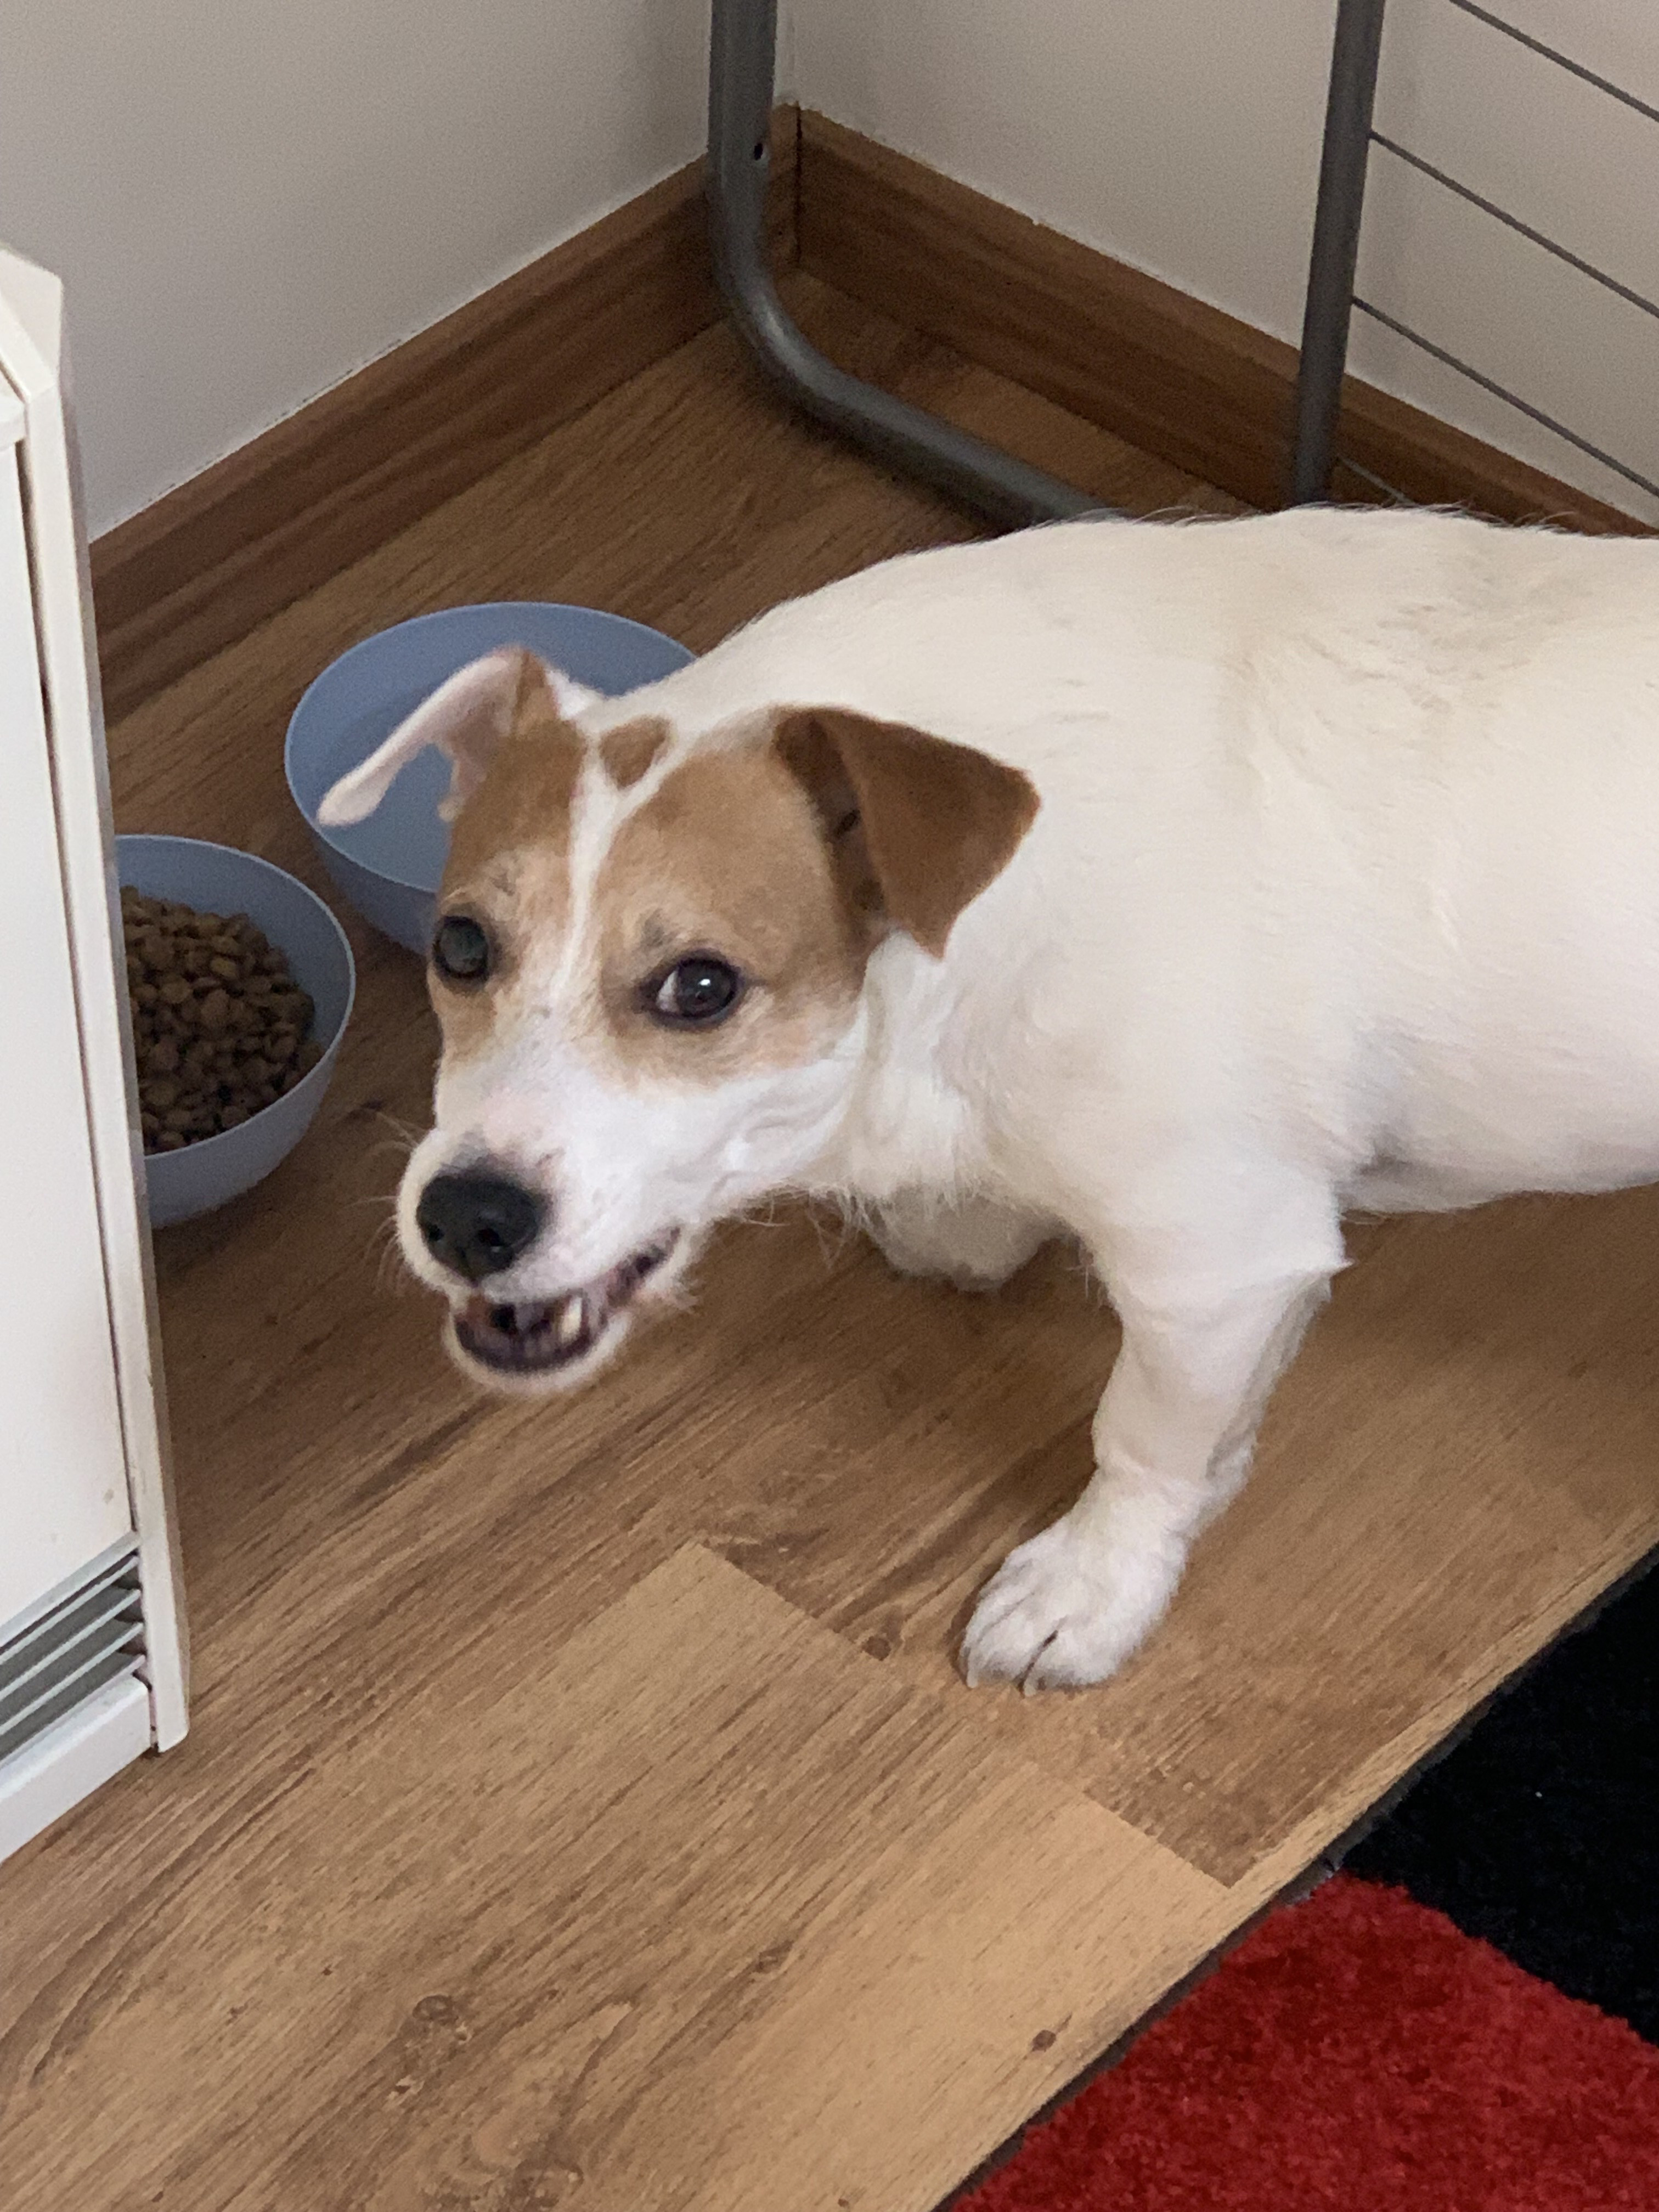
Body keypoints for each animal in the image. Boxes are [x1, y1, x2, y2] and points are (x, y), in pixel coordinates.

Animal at [320, 503, 1659, 1692]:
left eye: (700, 986)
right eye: (460, 947)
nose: (467, 1218)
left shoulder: (1215, 1259)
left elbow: (1141, 1442)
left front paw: (1092, 1590)